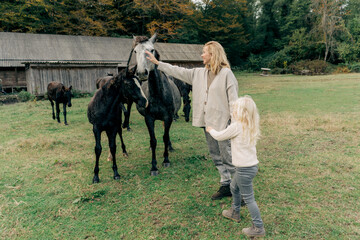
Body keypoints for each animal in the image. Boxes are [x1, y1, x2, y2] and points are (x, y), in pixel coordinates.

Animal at [133, 33, 180, 175]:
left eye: (151, 50)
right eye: (135, 51)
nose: (142, 73)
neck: (158, 94)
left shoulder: (168, 117)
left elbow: (165, 136)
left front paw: (166, 160)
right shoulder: (149, 118)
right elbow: (153, 140)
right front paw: (154, 167)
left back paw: (170, 147)